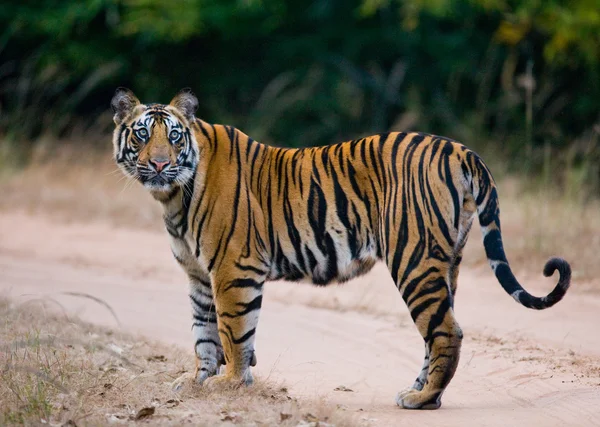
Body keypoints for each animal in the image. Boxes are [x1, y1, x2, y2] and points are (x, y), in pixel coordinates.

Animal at [111, 88, 572, 412]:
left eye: (173, 137)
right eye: (141, 134)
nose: (158, 164)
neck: (172, 196)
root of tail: (459, 148)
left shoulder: (232, 271)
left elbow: (232, 332)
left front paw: (230, 383)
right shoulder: (199, 276)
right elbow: (203, 334)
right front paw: (198, 382)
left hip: (414, 259)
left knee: (447, 331)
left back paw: (423, 400)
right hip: (447, 264)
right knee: (438, 330)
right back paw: (422, 391)